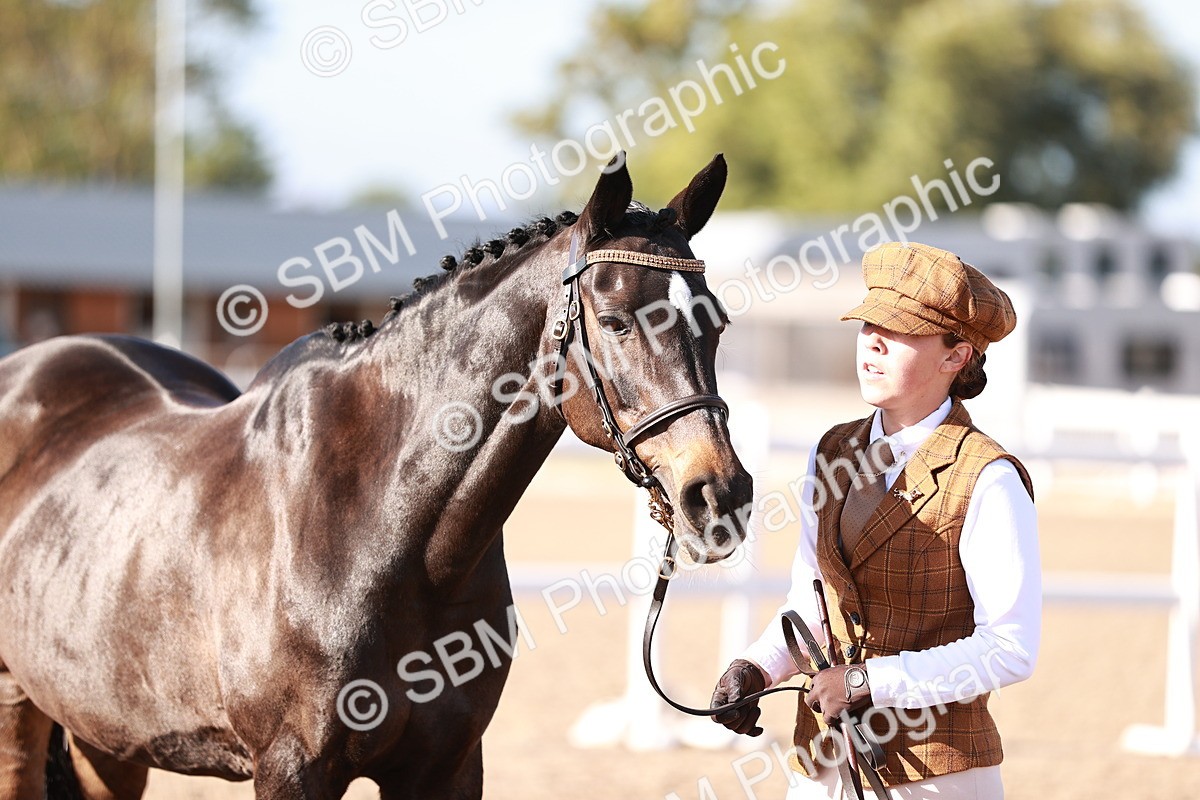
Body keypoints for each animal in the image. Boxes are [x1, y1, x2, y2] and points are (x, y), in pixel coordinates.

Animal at [0, 154, 753, 799]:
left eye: (717, 322)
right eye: (618, 321)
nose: (719, 494)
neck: (386, 530)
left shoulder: (447, 768)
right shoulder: (290, 768)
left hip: (107, 737)